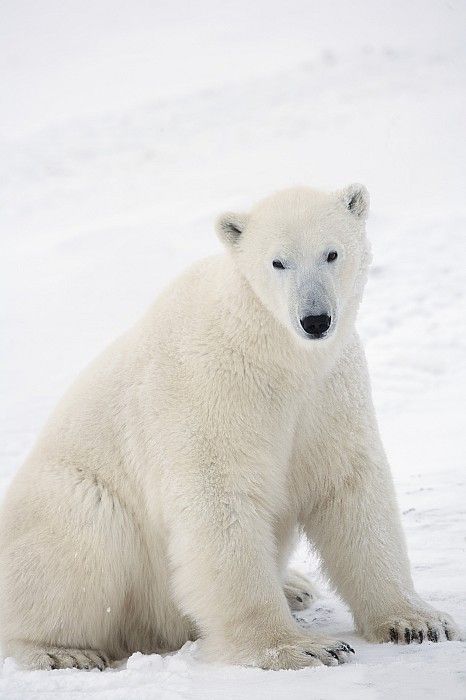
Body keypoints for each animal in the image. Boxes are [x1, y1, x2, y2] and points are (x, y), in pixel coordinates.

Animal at [0, 183, 458, 668]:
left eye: (332, 253)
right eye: (277, 262)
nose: (315, 320)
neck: (276, 351)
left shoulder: (328, 392)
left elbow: (350, 487)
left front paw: (418, 622)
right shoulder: (212, 390)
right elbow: (220, 500)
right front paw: (301, 646)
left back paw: (295, 586)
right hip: (69, 503)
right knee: (83, 535)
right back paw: (61, 652)